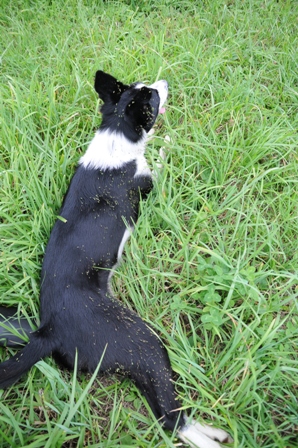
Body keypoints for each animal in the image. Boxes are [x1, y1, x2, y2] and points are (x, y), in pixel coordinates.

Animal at [0, 72, 233, 446]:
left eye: (146, 85)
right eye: (152, 95)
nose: (165, 79)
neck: (117, 132)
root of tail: (49, 331)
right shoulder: (149, 182)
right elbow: (161, 159)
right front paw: (169, 141)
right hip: (145, 344)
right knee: (171, 419)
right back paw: (211, 435)